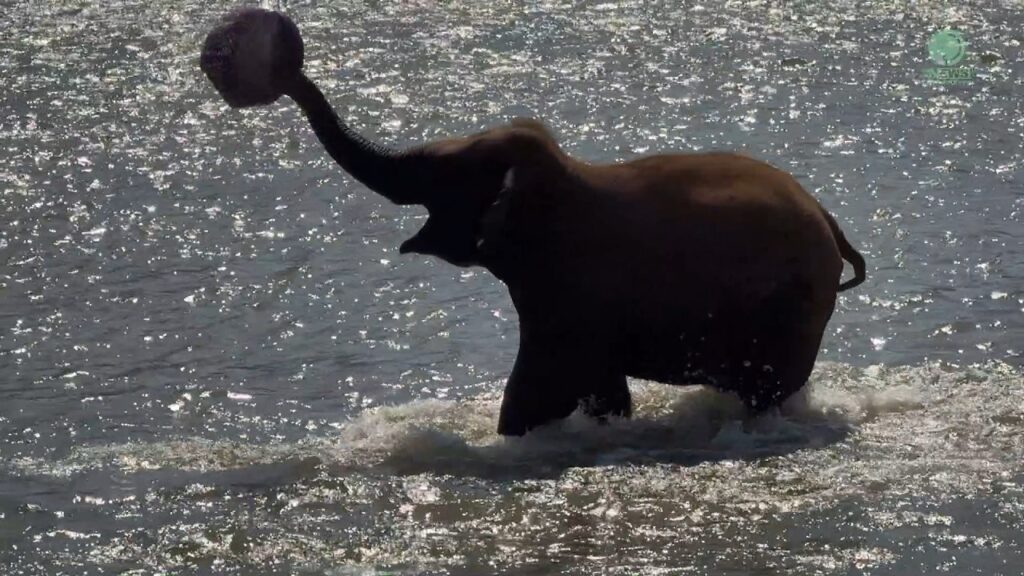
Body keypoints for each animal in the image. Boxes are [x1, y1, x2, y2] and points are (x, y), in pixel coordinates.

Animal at [201, 8, 867, 436]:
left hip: (794, 308)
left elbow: (542, 389)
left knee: (765, 391)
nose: (279, 67)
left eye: (441, 173)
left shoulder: (569, 286)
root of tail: (832, 223)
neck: (558, 173)